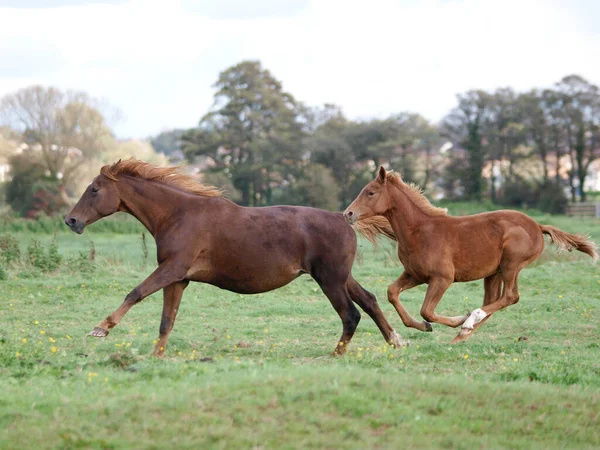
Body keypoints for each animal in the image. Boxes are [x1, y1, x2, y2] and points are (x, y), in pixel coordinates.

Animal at [65, 158, 404, 356]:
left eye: (94, 189)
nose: (71, 220)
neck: (178, 215)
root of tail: (344, 219)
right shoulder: (179, 279)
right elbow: (166, 321)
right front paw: (156, 356)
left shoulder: (171, 269)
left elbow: (135, 293)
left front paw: (100, 328)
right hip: (342, 277)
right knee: (369, 300)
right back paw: (396, 340)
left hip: (330, 280)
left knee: (351, 314)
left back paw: (337, 354)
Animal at [344, 167, 596, 342]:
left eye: (371, 192)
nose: (348, 214)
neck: (420, 231)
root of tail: (537, 226)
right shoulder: (415, 274)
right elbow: (392, 293)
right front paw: (424, 326)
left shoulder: (442, 279)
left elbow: (427, 310)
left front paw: (456, 320)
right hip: (493, 273)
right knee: (494, 301)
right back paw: (464, 333)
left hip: (511, 265)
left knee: (510, 297)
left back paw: (468, 322)